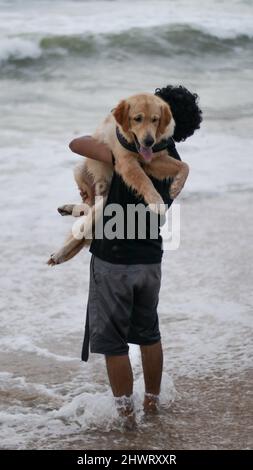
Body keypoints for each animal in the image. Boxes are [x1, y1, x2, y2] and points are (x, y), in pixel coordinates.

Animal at [48, 93, 190, 266]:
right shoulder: (126, 162)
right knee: (86, 214)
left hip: (100, 201)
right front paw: (156, 200)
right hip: (80, 171)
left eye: (155, 119)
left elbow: (184, 165)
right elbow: (144, 180)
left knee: (89, 208)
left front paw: (176, 186)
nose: (149, 141)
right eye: (137, 119)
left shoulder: (153, 159)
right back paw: (60, 252)